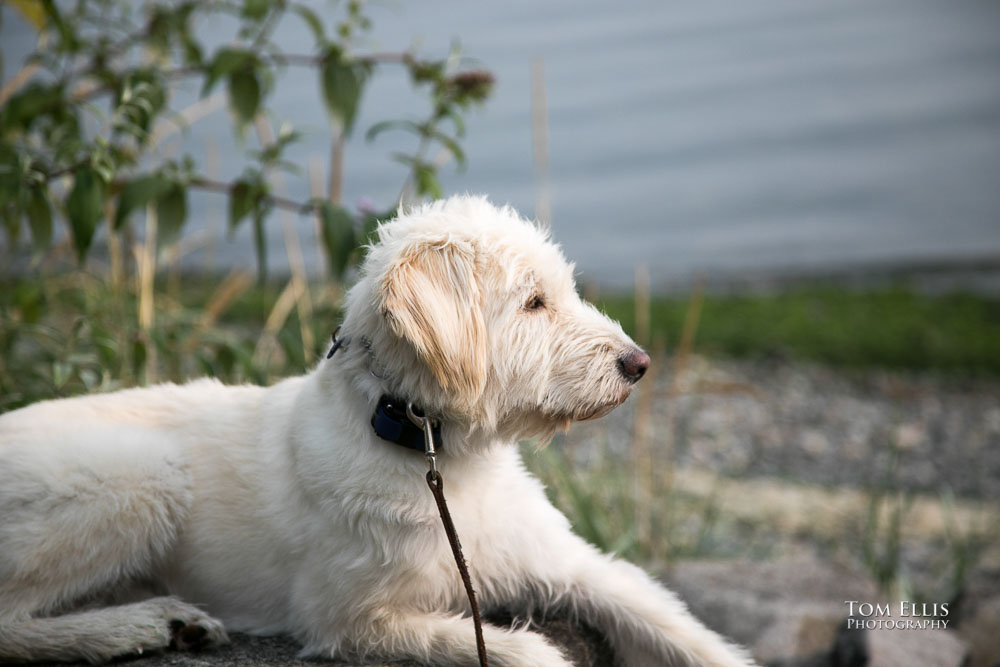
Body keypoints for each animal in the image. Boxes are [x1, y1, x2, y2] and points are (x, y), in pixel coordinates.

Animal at [0, 198, 752, 667]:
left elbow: (674, 625)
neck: (440, 453)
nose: (639, 364)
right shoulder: (349, 618)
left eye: (562, 291)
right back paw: (135, 625)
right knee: (9, 623)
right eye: (534, 303)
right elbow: (513, 647)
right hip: (141, 478)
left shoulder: (573, 565)